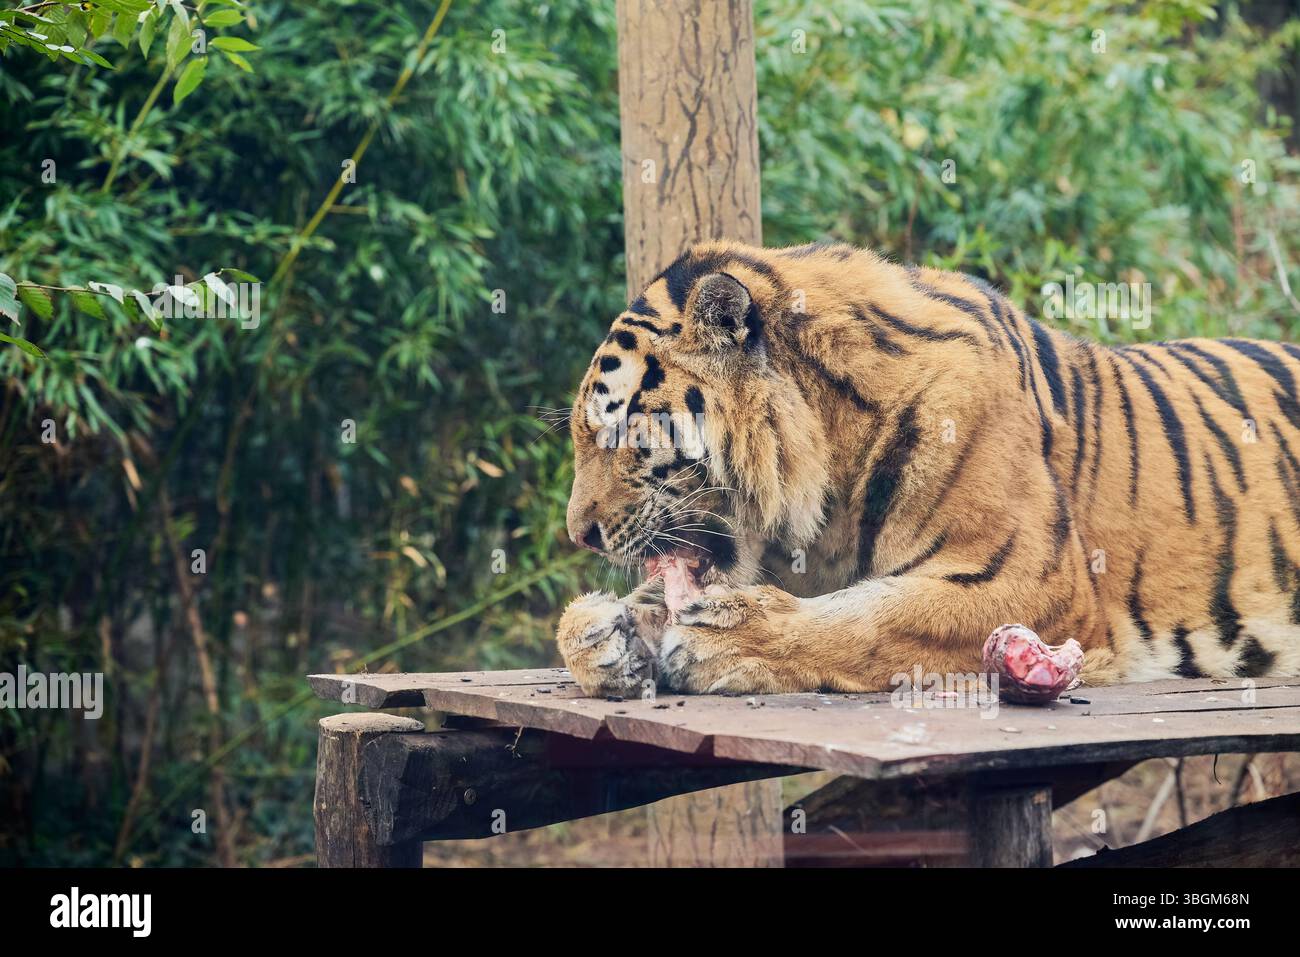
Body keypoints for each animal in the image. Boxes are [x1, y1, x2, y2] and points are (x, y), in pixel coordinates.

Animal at [555, 239, 1300, 697]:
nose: (578, 534)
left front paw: (733, 639)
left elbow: (873, 618)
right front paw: (602, 637)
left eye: (621, 429)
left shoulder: (1035, 581)